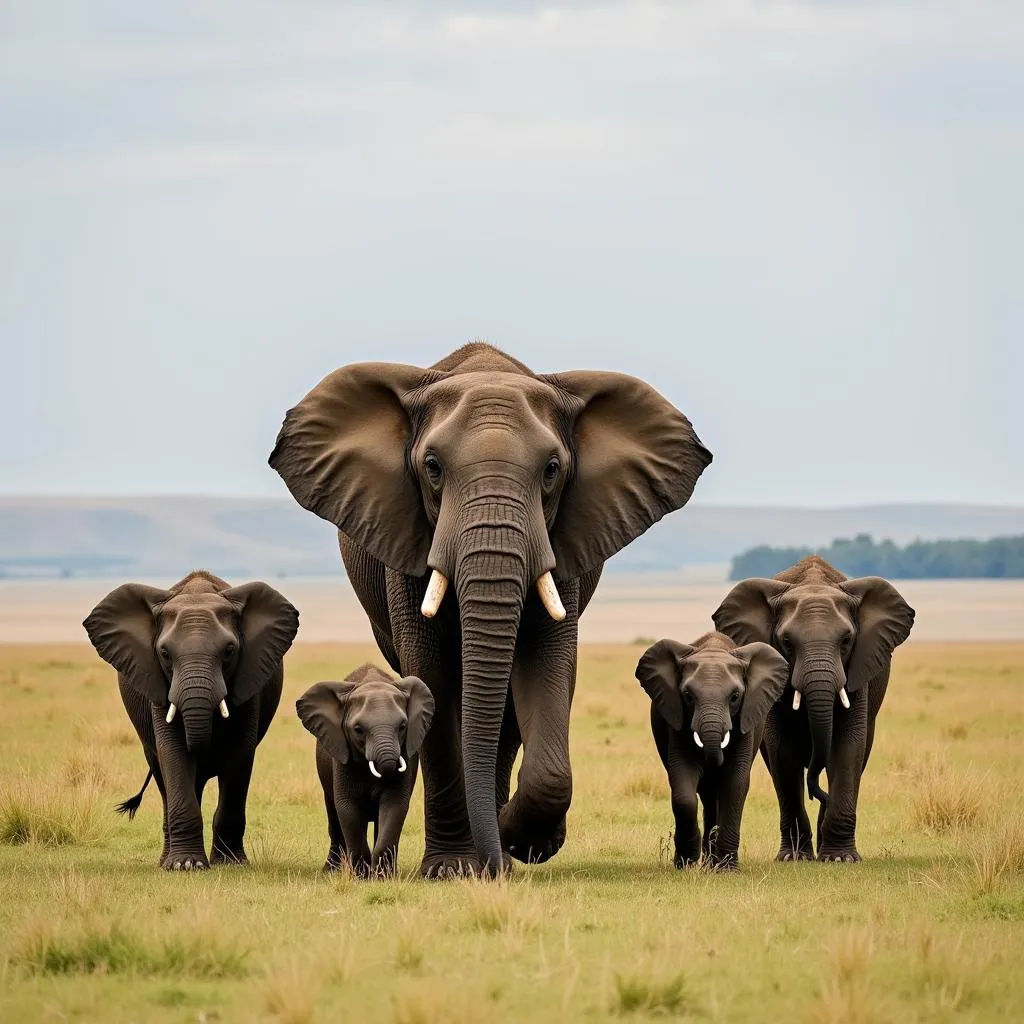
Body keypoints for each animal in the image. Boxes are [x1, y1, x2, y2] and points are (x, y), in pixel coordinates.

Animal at [81, 573, 299, 868]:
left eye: (229, 650)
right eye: (164, 653)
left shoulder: (250, 680)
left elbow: (239, 754)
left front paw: (231, 863)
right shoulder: (158, 686)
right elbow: (173, 751)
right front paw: (185, 866)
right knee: (162, 775)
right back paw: (165, 861)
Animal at [299, 663, 436, 880]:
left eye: (402, 726)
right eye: (358, 729)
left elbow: (394, 804)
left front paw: (383, 877)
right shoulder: (342, 756)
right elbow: (348, 808)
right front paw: (362, 877)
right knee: (334, 819)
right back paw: (331, 871)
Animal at [634, 630, 786, 872]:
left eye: (735, 697)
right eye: (688, 695)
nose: (714, 761)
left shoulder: (747, 720)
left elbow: (735, 784)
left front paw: (727, 870)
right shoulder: (677, 719)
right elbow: (683, 783)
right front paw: (685, 863)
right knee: (706, 795)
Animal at [712, 557, 913, 860]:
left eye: (846, 640)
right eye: (786, 642)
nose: (819, 795)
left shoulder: (858, 667)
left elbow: (848, 744)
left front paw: (840, 858)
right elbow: (782, 749)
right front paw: (793, 858)